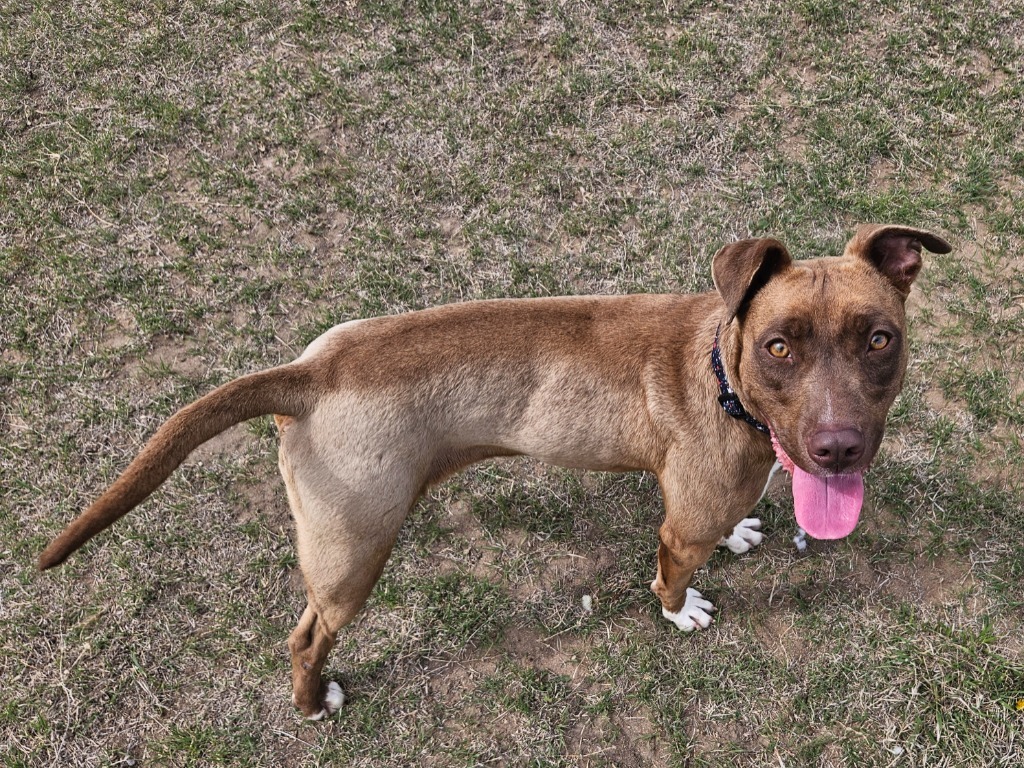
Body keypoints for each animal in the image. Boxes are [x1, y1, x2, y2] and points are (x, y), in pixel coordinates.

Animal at [37, 224, 950, 720]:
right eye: (779, 345)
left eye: (879, 338)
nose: (837, 448)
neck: (720, 370)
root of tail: (311, 372)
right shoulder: (681, 520)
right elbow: (670, 572)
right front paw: (679, 610)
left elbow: (729, 525)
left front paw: (743, 536)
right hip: (351, 554)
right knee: (305, 637)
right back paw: (313, 703)